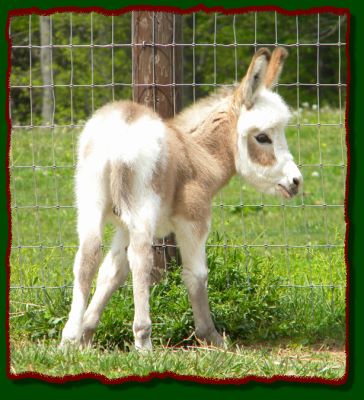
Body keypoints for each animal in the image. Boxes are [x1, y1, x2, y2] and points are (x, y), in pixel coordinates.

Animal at [61, 47, 302, 350]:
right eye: (262, 137)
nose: (296, 182)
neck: (199, 152)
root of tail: (122, 130)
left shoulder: (122, 227)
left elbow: (112, 272)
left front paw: (86, 333)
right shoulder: (194, 218)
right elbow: (196, 275)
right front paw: (211, 336)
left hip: (90, 200)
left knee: (87, 255)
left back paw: (68, 337)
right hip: (143, 208)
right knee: (141, 258)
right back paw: (143, 338)